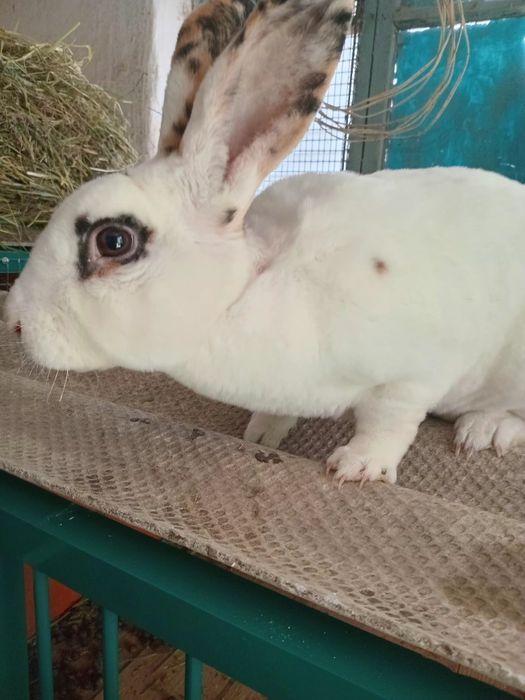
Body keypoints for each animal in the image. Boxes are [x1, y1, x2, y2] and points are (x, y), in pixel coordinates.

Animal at [5, 0, 525, 486]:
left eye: (114, 240)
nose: (12, 320)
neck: (247, 290)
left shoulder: (412, 376)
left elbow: (389, 424)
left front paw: (358, 466)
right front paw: (262, 431)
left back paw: (485, 429)